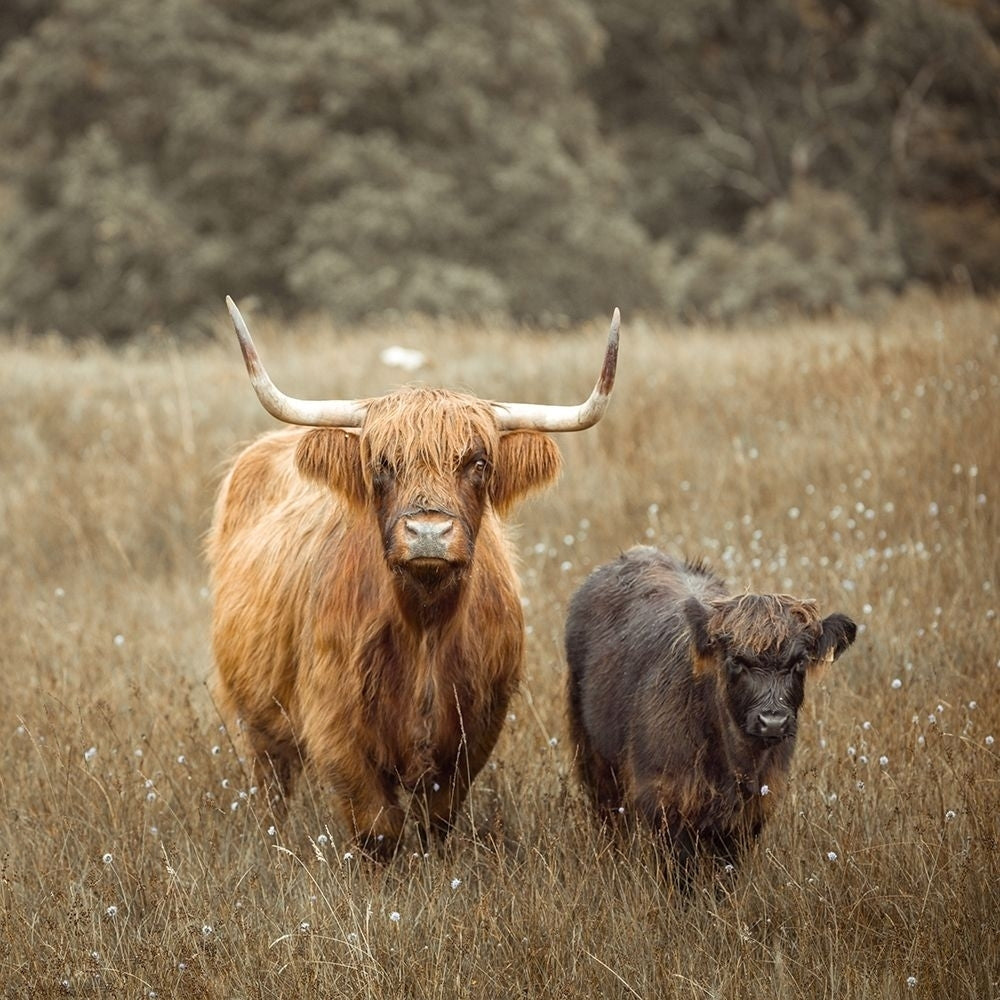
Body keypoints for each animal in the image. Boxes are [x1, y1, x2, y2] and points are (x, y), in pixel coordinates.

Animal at [568, 548, 856, 884]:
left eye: (798, 662)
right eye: (736, 660)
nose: (772, 721)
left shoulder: (751, 813)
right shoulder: (668, 803)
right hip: (595, 758)